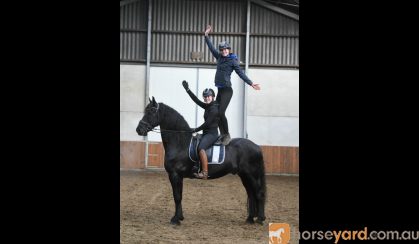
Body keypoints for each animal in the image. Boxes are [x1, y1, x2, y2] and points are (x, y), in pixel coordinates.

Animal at [138, 96, 270, 225]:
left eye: (151, 111)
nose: (139, 129)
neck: (180, 143)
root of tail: (257, 146)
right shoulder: (178, 176)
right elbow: (179, 195)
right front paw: (180, 217)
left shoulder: (174, 175)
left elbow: (177, 196)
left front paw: (175, 220)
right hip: (244, 175)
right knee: (251, 194)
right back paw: (250, 219)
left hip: (252, 175)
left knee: (259, 193)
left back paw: (260, 219)